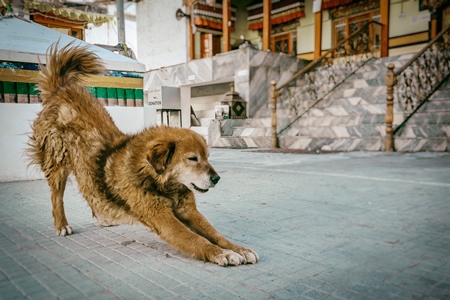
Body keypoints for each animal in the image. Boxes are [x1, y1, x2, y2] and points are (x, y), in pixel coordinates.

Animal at [28, 42, 258, 268]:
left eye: (208, 157)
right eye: (193, 159)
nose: (217, 178)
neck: (163, 182)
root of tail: (60, 90)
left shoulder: (189, 211)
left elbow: (216, 235)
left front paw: (239, 249)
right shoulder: (163, 219)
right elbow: (198, 240)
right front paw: (222, 254)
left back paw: (104, 217)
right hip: (57, 164)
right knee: (56, 197)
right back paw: (62, 225)